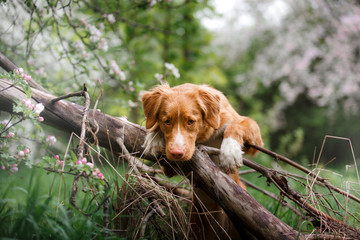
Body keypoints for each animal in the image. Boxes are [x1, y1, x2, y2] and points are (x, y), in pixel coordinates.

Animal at [142, 83, 262, 239]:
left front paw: (230, 151)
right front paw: (154, 138)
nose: (177, 153)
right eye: (166, 121)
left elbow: (235, 126)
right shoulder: (169, 168)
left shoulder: (255, 138)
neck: (206, 136)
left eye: (191, 122)